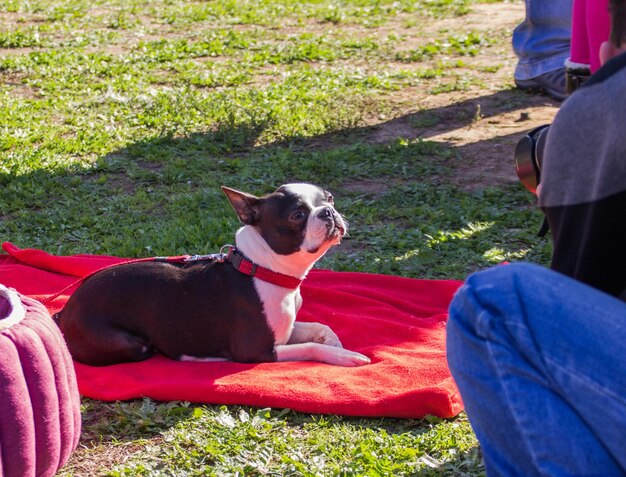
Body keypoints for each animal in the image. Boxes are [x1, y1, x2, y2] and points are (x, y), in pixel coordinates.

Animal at [57, 184, 370, 366]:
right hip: (130, 344)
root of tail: (65, 311)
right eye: (297, 215)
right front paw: (344, 356)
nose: (328, 211)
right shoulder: (257, 350)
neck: (264, 269)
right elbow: (311, 348)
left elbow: (320, 326)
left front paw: (335, 343)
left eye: (329, 198)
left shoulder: (285, 330)